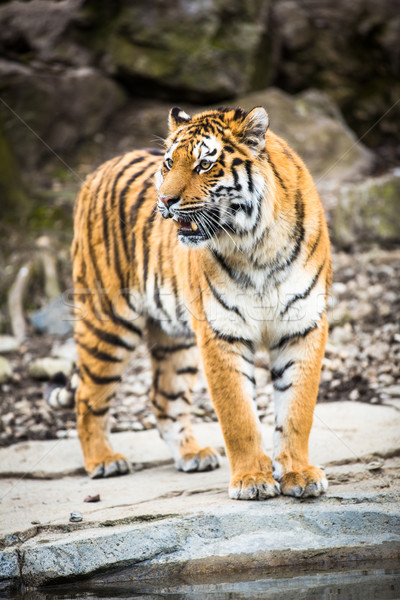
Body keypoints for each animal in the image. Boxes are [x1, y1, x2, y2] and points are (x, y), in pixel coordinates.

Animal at [69, 105, 332, 500]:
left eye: (204, 165)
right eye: (168, 163)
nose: (164, 201)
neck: (256, 246)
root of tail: (98, 170)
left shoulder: (302, 326)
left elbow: (296, 410)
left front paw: (298, 473)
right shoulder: (221, 332)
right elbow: (238, 414)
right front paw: (252, 479)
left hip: (176, 341)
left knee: (164, 399)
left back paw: (192, 454)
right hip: (107, 322)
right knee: (87, 395)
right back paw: (103, 461)